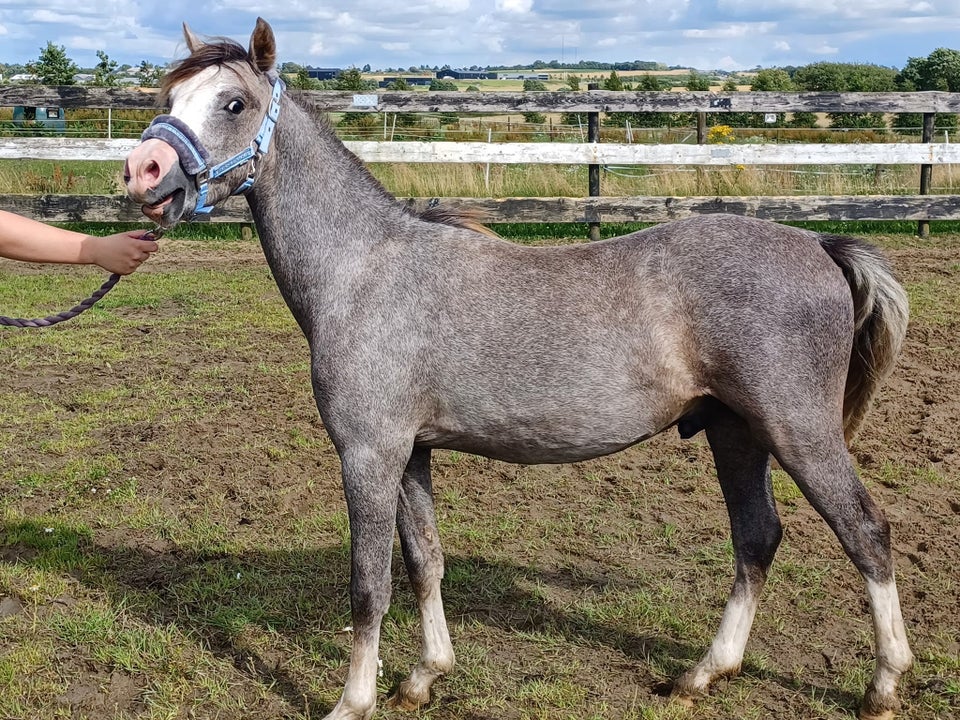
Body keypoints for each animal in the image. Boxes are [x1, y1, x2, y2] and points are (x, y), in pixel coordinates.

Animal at [125, 19, 916, 720]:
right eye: (169, 97)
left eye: (233, 103)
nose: (143, 172)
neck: (363, 269)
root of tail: (820, 246)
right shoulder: (412, 453)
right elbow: (425, 562)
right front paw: (424, 678)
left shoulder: (368, 454)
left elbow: (368, 584)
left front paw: (353, 702)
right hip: (735, 432)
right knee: (757, 538)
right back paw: (701, 674)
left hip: (798, 431)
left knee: (866, 533)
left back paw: (882, 687)